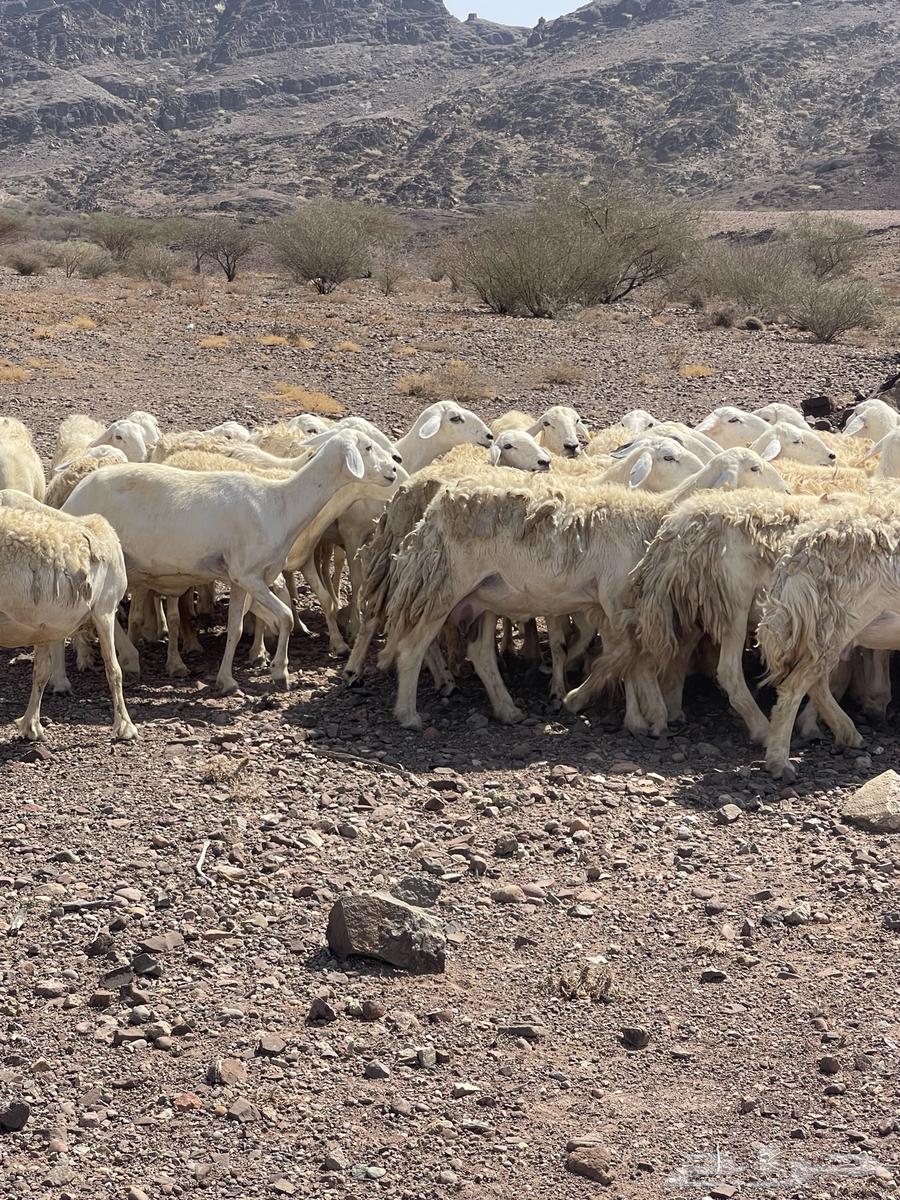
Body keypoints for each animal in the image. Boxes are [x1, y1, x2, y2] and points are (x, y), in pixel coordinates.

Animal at [0, 490, 135, 741]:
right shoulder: (105, 612)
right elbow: (114, 670)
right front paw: (126, 726)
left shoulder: (42, 626)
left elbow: (41, 672)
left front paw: (31, 726)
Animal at [63, 430, 401, 694]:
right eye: (368, 447)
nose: (394, 471)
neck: (280, 503)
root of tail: (73, 497)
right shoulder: (249, 574)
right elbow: (286, 617)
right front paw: (280, 672)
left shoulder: (241, 580)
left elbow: (237, 628)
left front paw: (226, 680)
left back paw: (129, 656)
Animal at [378, 449, 788, 731]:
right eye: (754, 468)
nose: (785, 488)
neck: (655, 514)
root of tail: (434, 508)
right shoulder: (616, 596)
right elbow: (630, 657)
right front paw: (641, 713)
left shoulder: (611, 606)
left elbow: (625, 656)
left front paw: (634, 715)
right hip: (445, 585)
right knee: (413, 647)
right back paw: (408, 714)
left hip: (483, 596)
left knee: (480, 654)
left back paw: (508, 710)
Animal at [757, 499, 900, 781]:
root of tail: (799, 554)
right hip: (834, 623)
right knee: (794, 687)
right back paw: (780, 763)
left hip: (828, 629)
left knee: (817, 682)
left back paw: (849, 734)